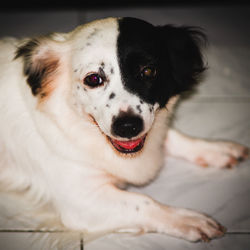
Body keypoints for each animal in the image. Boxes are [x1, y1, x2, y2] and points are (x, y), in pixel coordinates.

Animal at [0, 17, 248, 242]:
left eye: (148, 71)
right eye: (93, 79)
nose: (128, 126)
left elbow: (171, 136)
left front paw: (215, 149)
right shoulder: (81, 201)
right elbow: (143, 202)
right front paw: (186, 219)